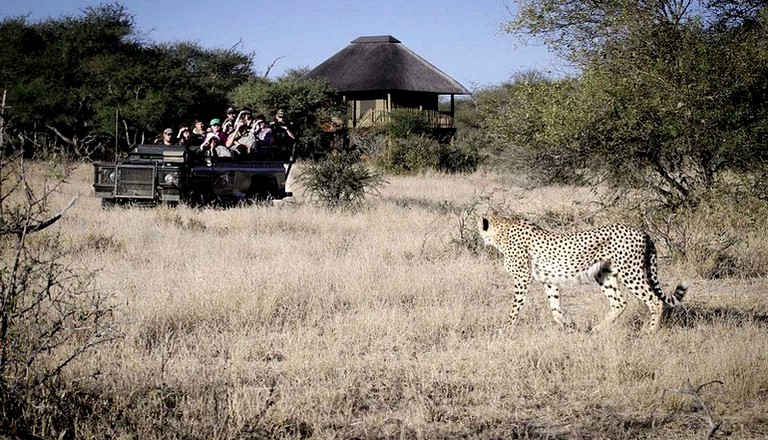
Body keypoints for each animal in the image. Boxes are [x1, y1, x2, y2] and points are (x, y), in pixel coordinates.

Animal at [476, 215, 688, 332]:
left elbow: (516, 306)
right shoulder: (549, 280)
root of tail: (642, 231)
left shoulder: (522, 277)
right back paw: (597, 329)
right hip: (604, 274)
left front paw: (506, 328)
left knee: (655, 300)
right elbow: (555, 308)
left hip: (630, 272)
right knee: (619, 302)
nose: (480, 239)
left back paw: (649, 331)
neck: (502, 231)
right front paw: (568, 326)